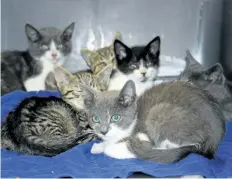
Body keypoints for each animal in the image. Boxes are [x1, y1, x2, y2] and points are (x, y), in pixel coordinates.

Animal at [80, 79, 225, 162]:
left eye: (115, 117)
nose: (103, 131)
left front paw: (107, 147)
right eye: (95, 118)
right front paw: (98, 146)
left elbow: (111, 148)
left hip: (158, 112)